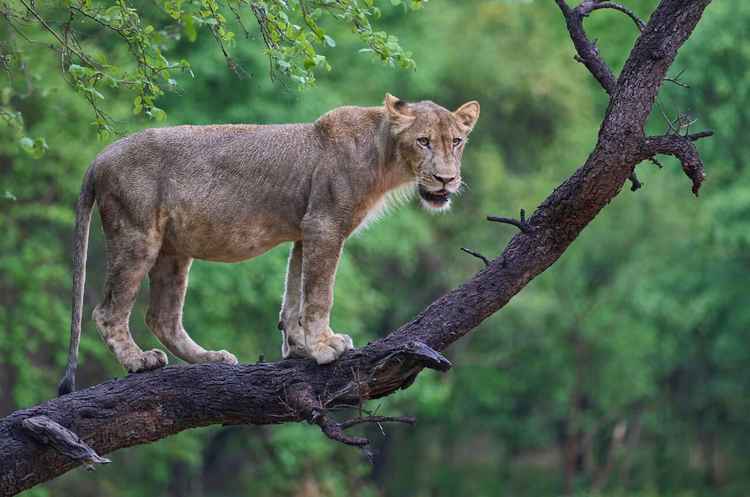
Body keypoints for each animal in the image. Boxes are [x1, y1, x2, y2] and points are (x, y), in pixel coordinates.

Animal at [58, 93, 480, 395]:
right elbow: (320, 294)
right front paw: (325, 346)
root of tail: (100, 157)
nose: (446, 179)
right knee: (108, 312)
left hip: (173, 250)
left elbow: (294, 295)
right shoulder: (325, 225)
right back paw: (138, 361)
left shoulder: (305, 231)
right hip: (137, 234)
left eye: (457, 142)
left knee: (161, 316)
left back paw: (211, 358)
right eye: (423, 141)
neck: (385, 156)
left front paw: (299, 347)